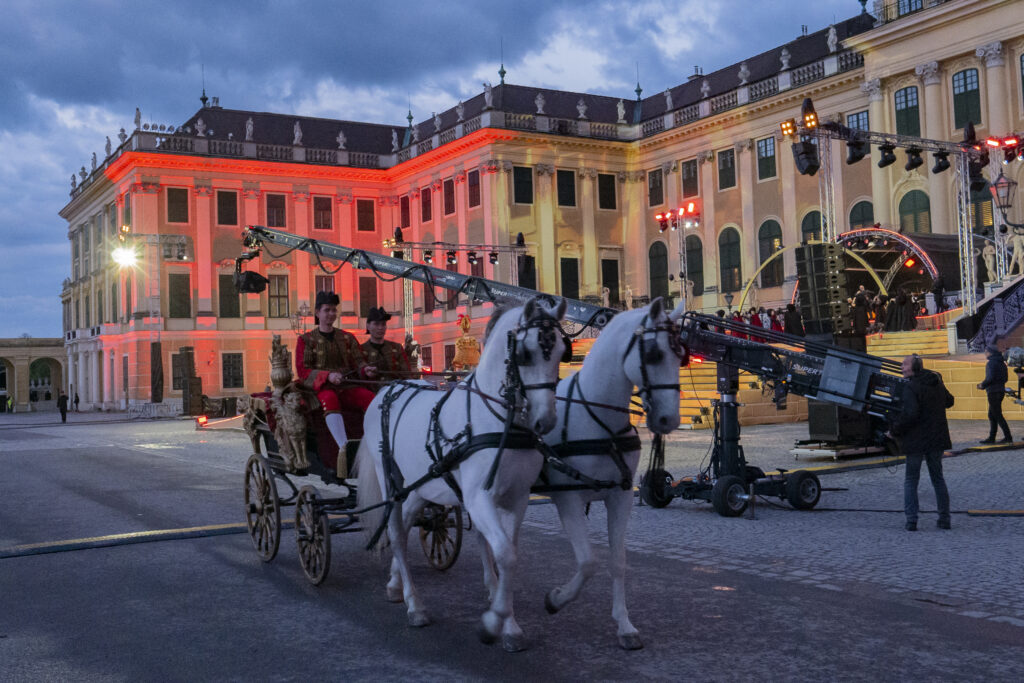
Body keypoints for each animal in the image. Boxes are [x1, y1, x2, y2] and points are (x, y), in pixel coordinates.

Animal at [358, 296, 569, 651]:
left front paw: (509, 624)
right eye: (525, 353)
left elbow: (507, 553)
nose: (546, 421)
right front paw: (494, 622)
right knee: (397, 535)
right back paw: (415, 605)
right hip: (391, 482)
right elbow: (505, 555)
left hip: (421, 486)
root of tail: (387, 390)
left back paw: (394, 584)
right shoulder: (478, 497)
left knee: (408, 521)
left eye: (561, 352)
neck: (497, 421)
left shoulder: (517, 498)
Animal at [532, 299, 684, 651]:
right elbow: (588, 562)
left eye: (680, 355)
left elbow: (618, 561)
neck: (598, 420)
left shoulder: (621, 496)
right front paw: (556, 599)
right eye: (654, 354)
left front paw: (624, 625)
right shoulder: (568, 500)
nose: (670, 419)